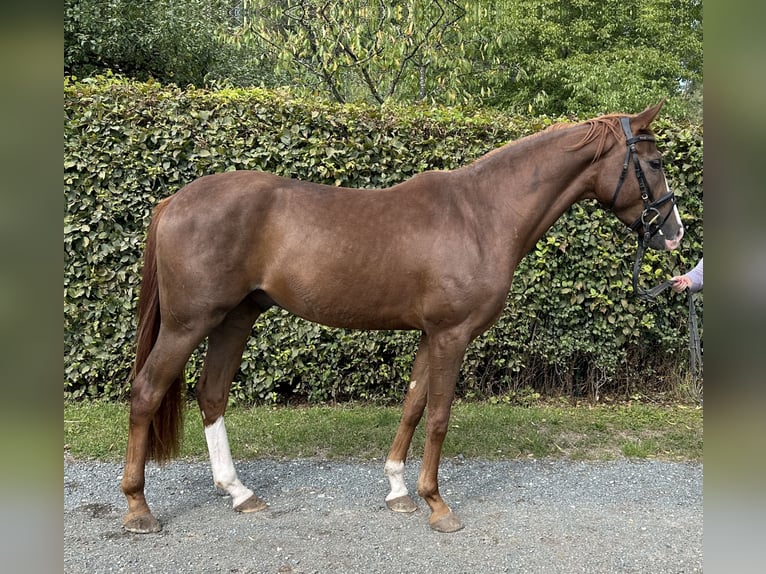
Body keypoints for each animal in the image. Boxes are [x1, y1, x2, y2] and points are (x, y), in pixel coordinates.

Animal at [123, 100, 688, 536]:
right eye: (656, 161)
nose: (674, 232)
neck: (482, 214)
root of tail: (174, 201)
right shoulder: (452, 335)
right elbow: (438, 417)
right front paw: (437, 505)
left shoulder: (429, 334)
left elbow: (413, 406)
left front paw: (398, 490)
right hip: (189, 323)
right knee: (147, 390)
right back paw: (138, 507)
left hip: (235, 318)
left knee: (211, 393)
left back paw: (239, 493)